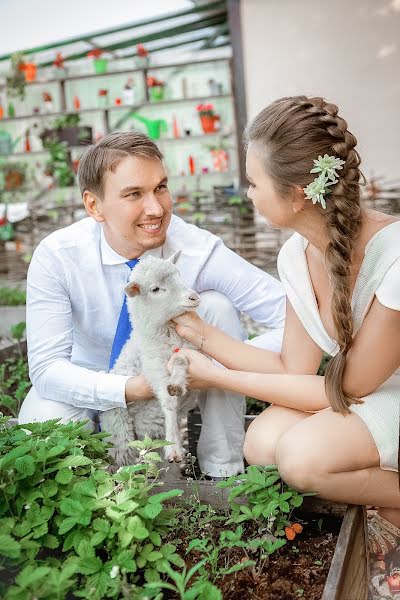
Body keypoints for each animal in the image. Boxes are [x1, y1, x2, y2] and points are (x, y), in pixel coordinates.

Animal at [100, 251, 200, 466]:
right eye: (155, 289)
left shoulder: (186, 353)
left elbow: (180, 365)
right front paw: (174, 447)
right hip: (120, 433)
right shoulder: (155, 369)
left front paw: (177, 383)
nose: (194, 297)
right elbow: (169, 403)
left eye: (179, 275)